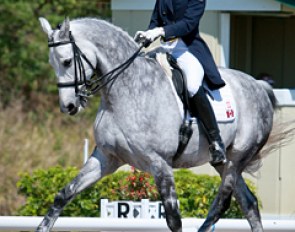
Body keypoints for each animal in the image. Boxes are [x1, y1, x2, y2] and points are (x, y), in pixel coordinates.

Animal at [38, 16, 278, 232]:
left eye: (67, 61)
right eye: (52, 64)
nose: (68, 106)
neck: (125, 91)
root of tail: (259, 85)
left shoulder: (160, 163)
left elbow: (173, 219)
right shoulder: (106, 157)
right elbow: (64, 194)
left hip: (237, 158)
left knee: (221, 203)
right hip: (223, 162)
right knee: (248, 203)